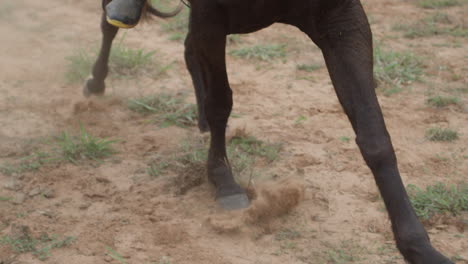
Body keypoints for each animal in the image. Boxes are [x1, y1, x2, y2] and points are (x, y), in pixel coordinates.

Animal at [85, 1, 454, 262]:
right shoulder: (211, 19)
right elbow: (221, 101)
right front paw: (224, 182)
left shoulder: (342, 20)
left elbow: (373, 132)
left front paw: (421, 249)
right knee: (109, 25)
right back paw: (95, 84)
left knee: (188, 49)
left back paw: (199, 118)